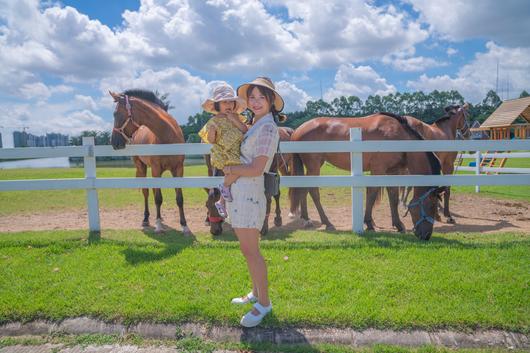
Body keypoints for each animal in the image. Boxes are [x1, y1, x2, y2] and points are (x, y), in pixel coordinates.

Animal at [108, 89, 191, 235]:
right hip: (142, 167)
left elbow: (179, 198)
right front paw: (158, 226)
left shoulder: (178, 170)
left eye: (116, 114)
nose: (114, 143)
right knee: (146, 192)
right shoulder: (156, 169)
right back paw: (146, 219)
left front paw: (184, 226)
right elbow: (158, 198)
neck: (167, 135)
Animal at [288, 113, 442, 239]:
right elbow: (372, 194)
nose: (426, 235)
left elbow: (393, 197)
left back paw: (306, 219)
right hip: (314, 166)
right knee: (313, 191)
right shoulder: (378, 169)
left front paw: (398, 225)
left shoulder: (393, 171)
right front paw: (369, 224)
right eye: (432, 205)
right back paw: (327, 222)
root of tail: (298, 130)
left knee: (304, 189)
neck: (398, 136)